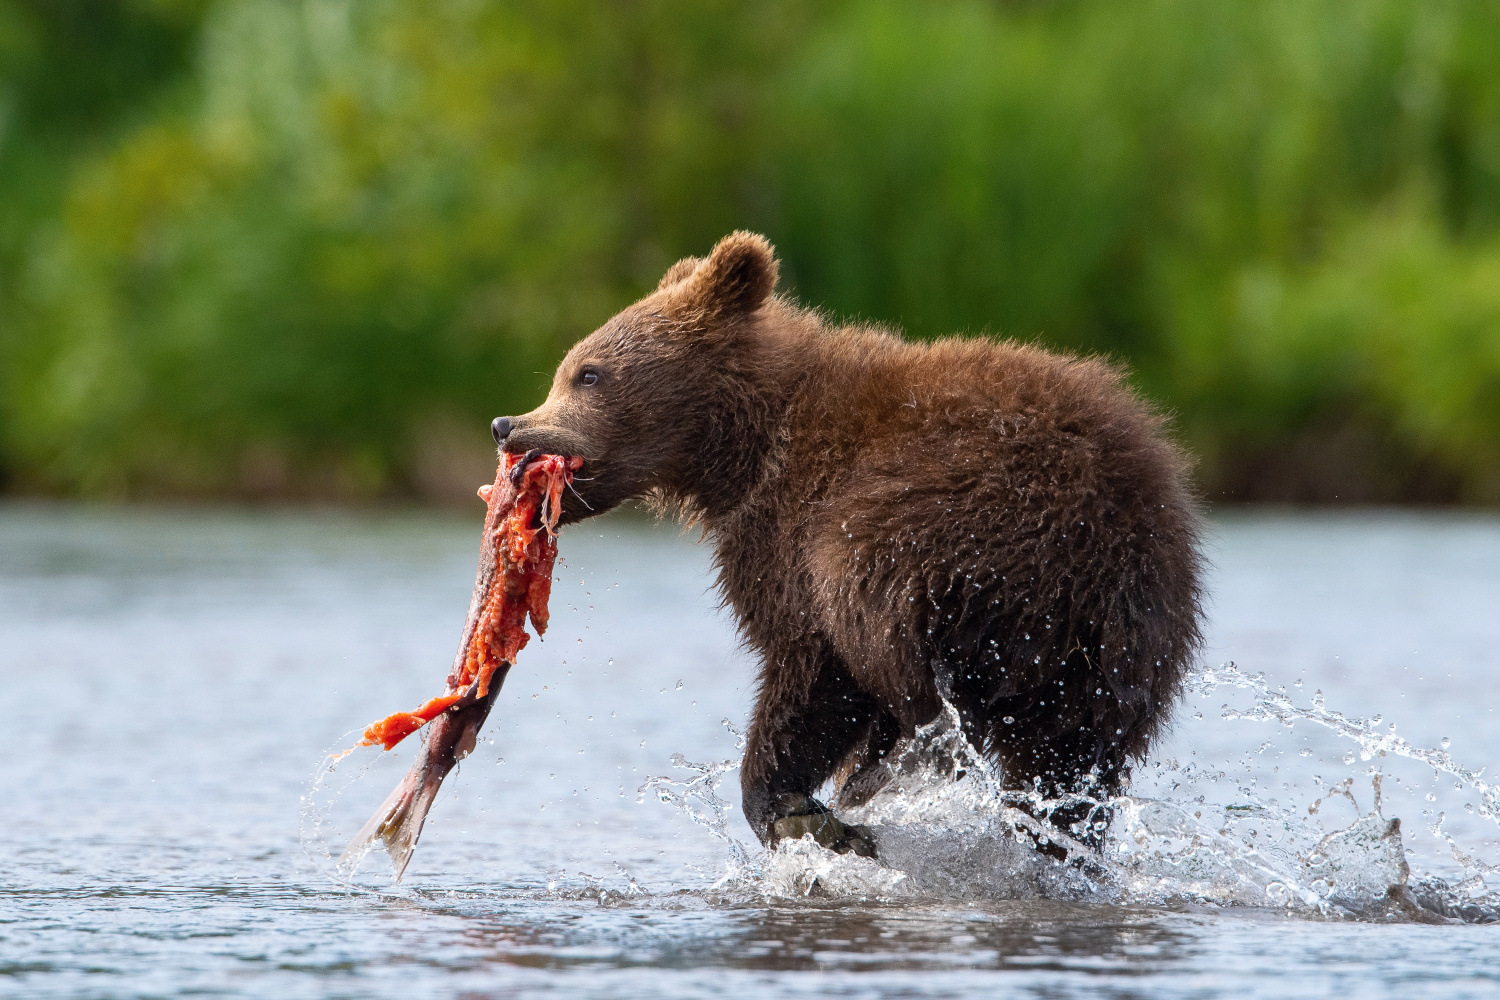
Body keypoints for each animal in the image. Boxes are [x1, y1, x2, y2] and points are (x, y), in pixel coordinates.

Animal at [498, 230, 1200, 857]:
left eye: (588, 372)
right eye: (568, 370)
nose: (510, 424)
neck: (746, 445)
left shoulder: (791, 528)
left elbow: (811, 665)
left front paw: (791, 803)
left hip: (953, 521)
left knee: (880, 621)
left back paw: (894, 767)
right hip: (1119, 635)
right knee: (1069, 757)